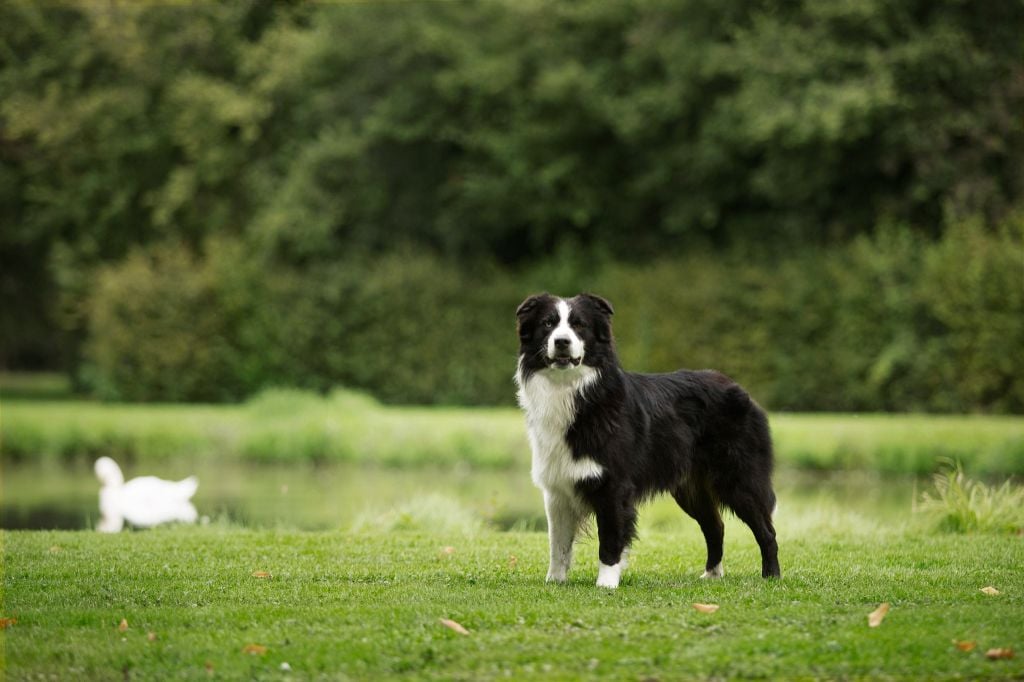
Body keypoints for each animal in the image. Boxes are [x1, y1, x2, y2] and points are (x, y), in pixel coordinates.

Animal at [516, 290, 778, 585]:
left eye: (579, 325)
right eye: (548, 324)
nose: (562, 342)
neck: (572, 391)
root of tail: (740, 389)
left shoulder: (614, 485)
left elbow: (610, 539)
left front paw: (606, 584)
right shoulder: (558, 489)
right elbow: (558, 544)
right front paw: (555, 582)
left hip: (739, 478)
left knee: (766, 530)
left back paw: (771, 576)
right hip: (691, 488)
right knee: (715, 526)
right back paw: (711, 574)